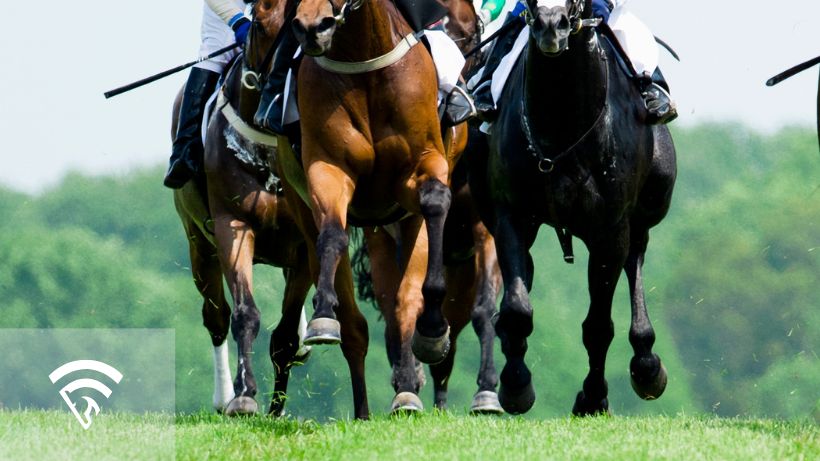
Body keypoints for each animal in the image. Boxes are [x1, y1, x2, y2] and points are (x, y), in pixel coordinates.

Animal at [172, 0, 369, 419]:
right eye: (260, 27)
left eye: (292, 32)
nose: (269, 94)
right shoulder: (232, 226)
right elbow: (245, 314)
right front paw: (244, 395)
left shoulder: (304, 245)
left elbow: (284, 339)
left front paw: (276, 409)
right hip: (199, 244)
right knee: (216, 316)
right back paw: (223, 396)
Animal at [465, 0, 677, 415]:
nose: (552, 25)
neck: (561, 125)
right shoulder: (511, 215)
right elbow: (517, 309)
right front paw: (516, 383)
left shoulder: (610, 228)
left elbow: (598, 326)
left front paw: (593, 396)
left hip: (642, 214)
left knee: (635, 259)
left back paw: (646, 363)